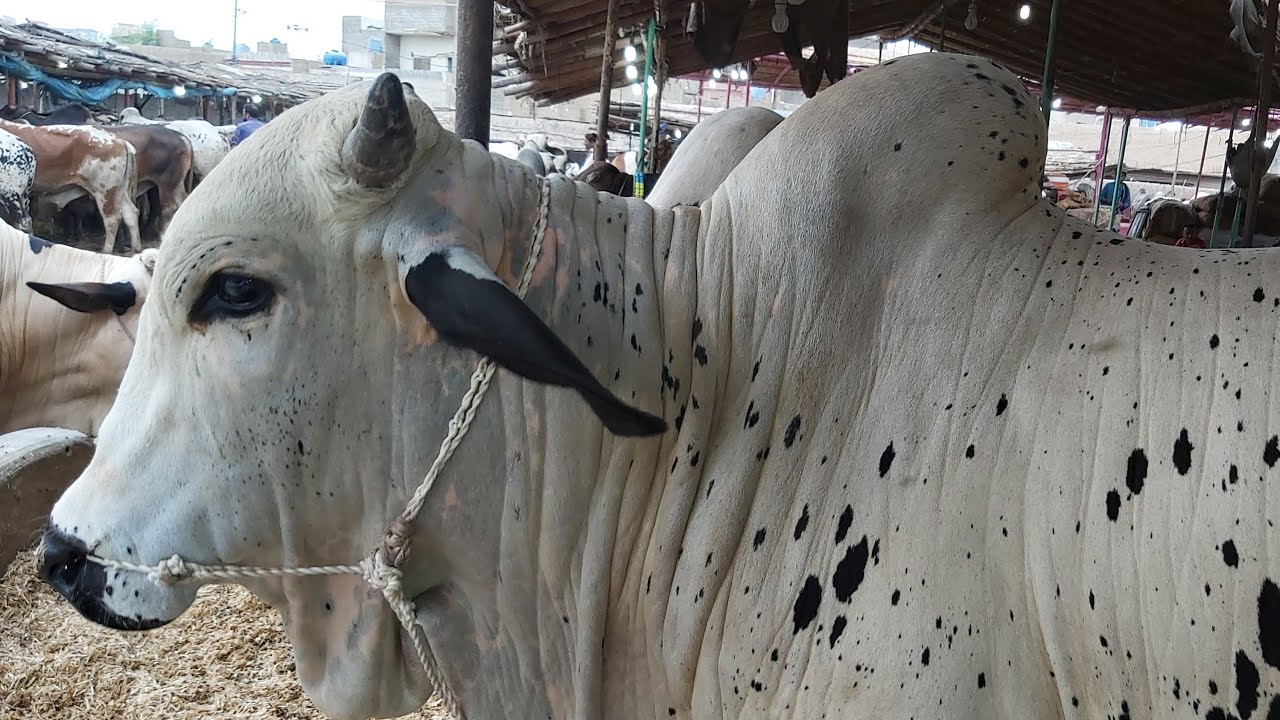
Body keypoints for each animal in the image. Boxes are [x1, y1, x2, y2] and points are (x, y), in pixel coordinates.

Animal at [0, 119, 142, 254]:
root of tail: (120, 141)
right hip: (119, 191)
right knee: (131, 213)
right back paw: (136, 248)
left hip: (104, 191)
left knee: (112, 219)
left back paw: (106, 251)